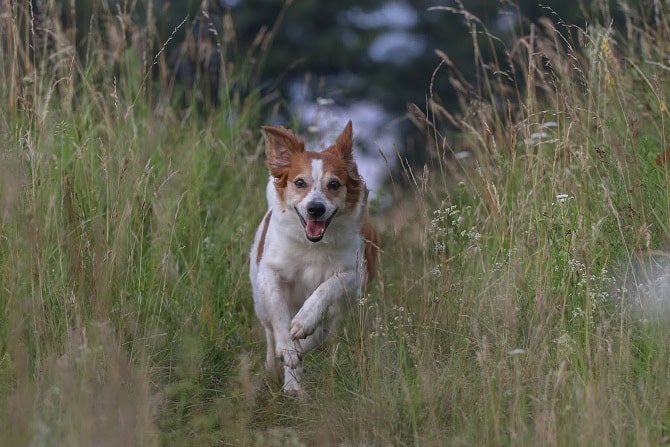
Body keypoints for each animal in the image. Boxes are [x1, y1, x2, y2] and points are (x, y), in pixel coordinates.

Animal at [251, 121, 380, 394]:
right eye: (300, 182)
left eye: (334, 184)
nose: (315, 208)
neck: (314, 246)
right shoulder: (270, 272)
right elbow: (279, 312)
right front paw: (287, 347)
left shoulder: (355, 274)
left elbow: (326, 287)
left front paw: (303, 321)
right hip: (259, 300)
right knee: (270, 332)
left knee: (319, 334)